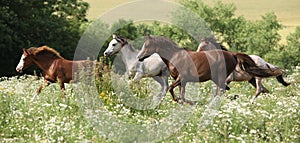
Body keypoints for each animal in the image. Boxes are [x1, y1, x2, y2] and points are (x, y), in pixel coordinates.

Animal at [137, 36, 278, 105]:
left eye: (147, 45)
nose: (139, 57)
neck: (175, 56)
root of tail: (232, 54)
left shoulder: (181, 78)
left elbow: (171, 89)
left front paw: (188, 102)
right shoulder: (182, 81)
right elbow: (181, 94)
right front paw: (186, 102)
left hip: (221, 77)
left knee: (222, 90)